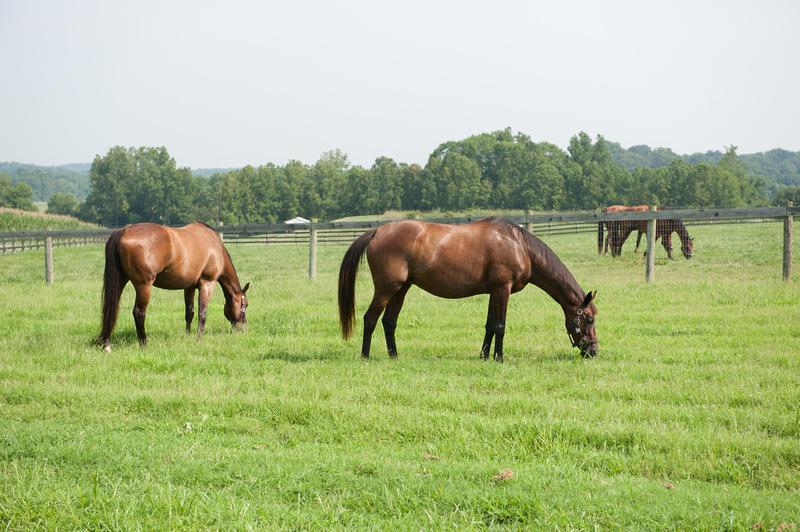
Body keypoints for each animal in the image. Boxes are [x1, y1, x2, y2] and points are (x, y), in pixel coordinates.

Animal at [99, 222, 250, 352]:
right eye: (244, 305)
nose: (243, 328)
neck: (215, 247)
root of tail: (122, 231)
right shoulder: (207, 284)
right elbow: (202, 313)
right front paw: (199, 339)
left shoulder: (189, 287)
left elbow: (190, 312)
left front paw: (188, 335)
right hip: (144, 286)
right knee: (139, 313)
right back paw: (144, 344)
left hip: (121, 281)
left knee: (111, 309)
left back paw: (106, 344)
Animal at [338, 217, 599, 361]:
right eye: (589, 319)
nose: (593, 351)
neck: (518, 245)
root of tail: (377, 232)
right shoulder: (502, 288)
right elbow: (500, 325)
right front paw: (499, 358)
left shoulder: (493, 291)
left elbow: (490, 325)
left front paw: (484, 356)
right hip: (386, 288)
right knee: (370, 318)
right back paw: (365, 356)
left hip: (401, 289)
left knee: (389, 322)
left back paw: (394, 356)